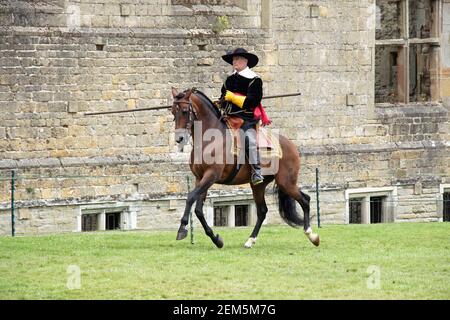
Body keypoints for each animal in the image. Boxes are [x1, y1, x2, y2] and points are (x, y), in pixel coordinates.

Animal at [170, 88, 320, 250]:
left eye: (185, 111)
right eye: (173, 111)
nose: (179, 139)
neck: (210, 139)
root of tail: (291, 145)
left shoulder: (211, 176)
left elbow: (190, 197)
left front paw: (182, 228)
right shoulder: (200, 179)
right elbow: (198, 210)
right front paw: (216, 239)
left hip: (286, 183)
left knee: (305, 200)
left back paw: (311, 235)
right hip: (259, 185)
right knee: (262, 211)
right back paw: (250, 240)